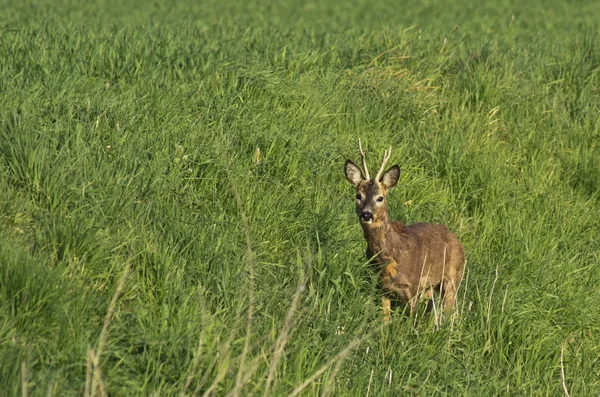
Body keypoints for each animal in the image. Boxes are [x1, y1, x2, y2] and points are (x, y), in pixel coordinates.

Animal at [344, 139, 466, 318]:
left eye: (380, 198)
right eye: (358, 195)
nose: (366, 214)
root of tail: (457, 240)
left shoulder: (413, 287)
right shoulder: (381, 288)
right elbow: (385, 319)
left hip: (453, 278)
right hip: (430, 287)